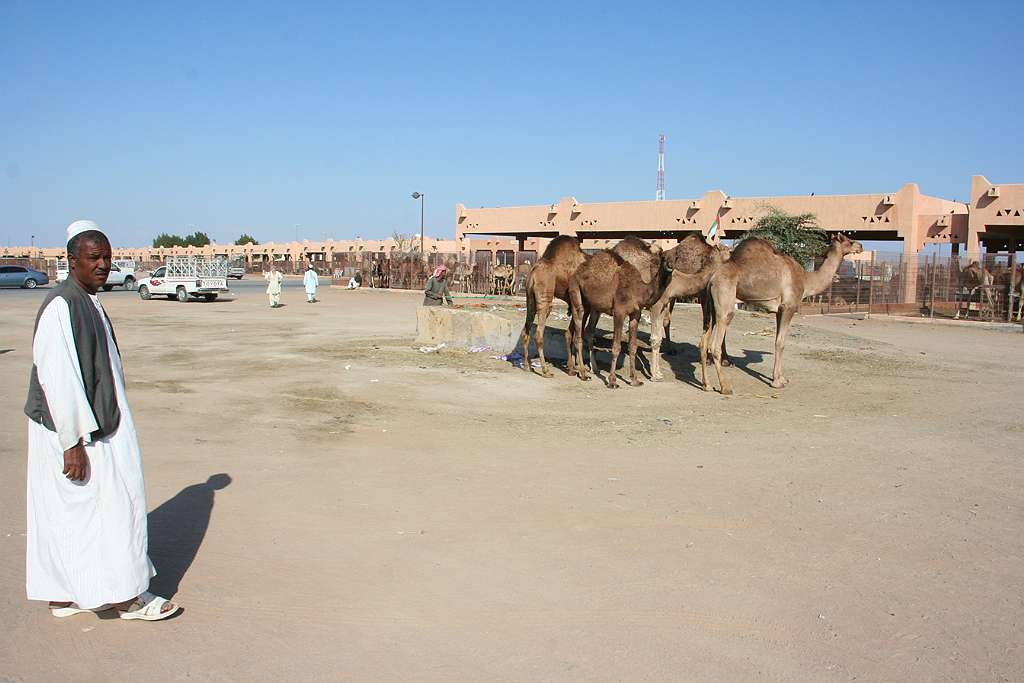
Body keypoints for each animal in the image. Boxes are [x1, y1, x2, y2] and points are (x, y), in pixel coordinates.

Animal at [518, 236, 588, 377]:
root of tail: (533, 273)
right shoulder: (582, 304)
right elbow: (578, 336)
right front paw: (582, 372)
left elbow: (570, 334)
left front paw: (572, 368)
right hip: (545, 297)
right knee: (539, 334)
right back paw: (545, 371)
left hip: (530, 300)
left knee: (526, 330)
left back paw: (527, 366)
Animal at [700, 233, 863, 395]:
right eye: (849, 241)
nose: (860, 246)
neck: (806, 279)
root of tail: (712, 280)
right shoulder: (789, 307)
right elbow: (781, 342)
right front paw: (777, 383)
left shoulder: (779, 310)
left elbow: (777, 341)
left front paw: (781, 378)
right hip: (725, 302)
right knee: (715, 344)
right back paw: (725, 387)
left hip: (711, 309)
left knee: (704, 342)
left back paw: (707, 385)